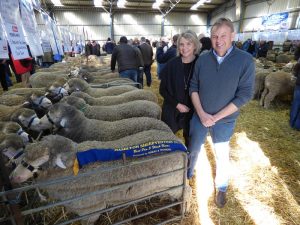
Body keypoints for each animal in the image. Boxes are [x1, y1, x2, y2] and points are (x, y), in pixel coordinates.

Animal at [9, 133, 190, 224]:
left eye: (40, 163)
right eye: (24, 157)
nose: (12, 177)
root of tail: (180, 142)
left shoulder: (90, 211)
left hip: (175, 183)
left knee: (187, 193)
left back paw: (184, 211)